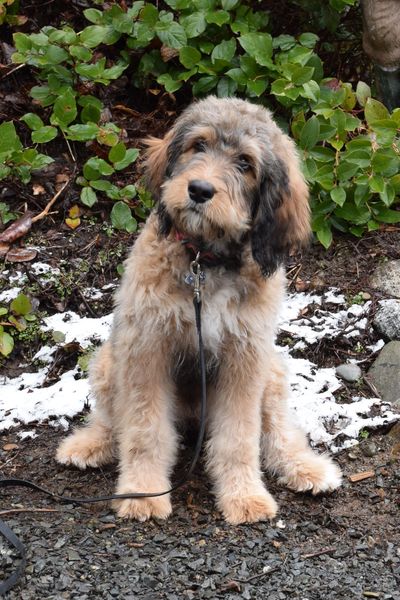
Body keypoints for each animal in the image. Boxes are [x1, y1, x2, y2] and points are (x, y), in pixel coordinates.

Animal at [56, 96, 342, 524]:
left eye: (245, 163)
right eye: (199, 145)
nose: (200, 189)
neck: (204, 262)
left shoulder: (245, 358)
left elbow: (239, 437)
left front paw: (244, 497)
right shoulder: (147, 349)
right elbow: (144, 430)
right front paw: (143, 493)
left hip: (272, 372)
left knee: (277, 433)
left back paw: (304, 467)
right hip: (110, 360)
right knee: (112, 420)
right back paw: (90, 444)